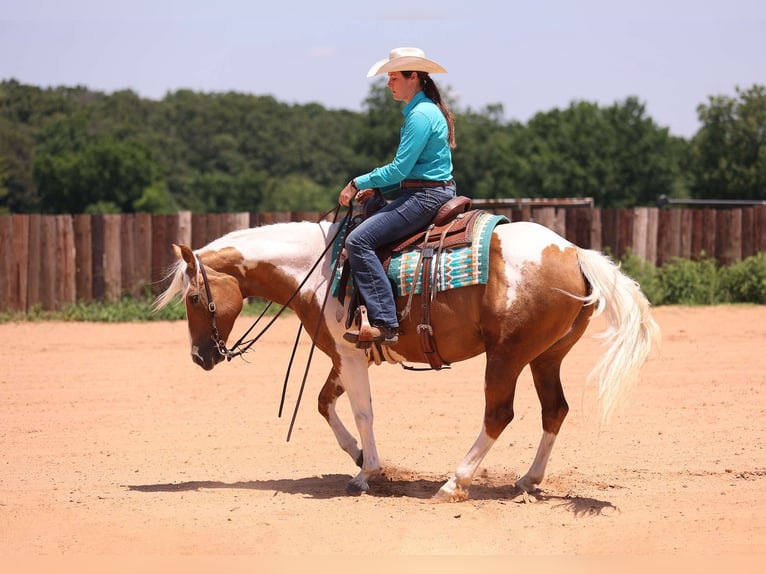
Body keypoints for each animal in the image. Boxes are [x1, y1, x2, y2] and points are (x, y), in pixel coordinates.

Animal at [154, 214, 660, 502]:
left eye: (194, 298)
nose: (200, 356)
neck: (318, 271)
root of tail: (574, 252)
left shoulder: (350, 356)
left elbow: (362, 412)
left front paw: (367, 473)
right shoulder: (343, 356)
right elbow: (324, 404)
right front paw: (359, 457)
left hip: (507, 355)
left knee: (499, 415)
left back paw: (455, 482)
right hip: (546, 356)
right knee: (554, 410)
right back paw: (527, 481)